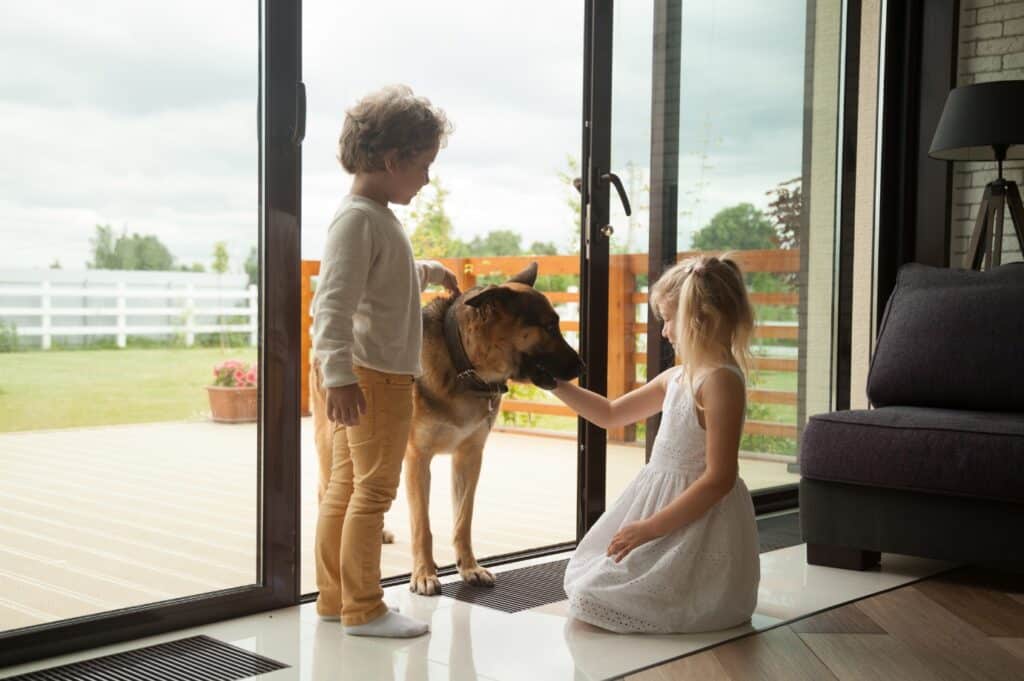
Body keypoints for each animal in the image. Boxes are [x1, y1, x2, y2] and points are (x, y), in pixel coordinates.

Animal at [309, 262, 585, 593]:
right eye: (549, 327)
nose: (582, 366)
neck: (464, 364)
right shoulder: (417, 459)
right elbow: (422, 526)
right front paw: (424, 573)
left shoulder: (469, 457)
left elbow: (463, 520)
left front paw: (469, 568)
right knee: (328, 490)